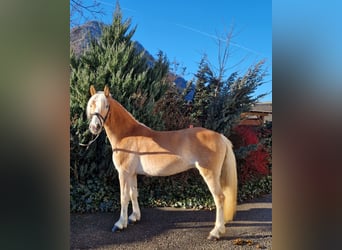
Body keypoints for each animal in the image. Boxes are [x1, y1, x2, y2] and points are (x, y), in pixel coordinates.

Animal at [85, 85, 238, 240]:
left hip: (210, 174)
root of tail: (220, 136)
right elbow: (133, 194)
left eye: (106, 105)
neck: (127, 134)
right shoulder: (132, 173)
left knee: (219, 198)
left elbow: (124, 197)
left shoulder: (123, 173)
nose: (95, 127)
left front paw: (120, 224)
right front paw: (134, 217)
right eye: (91, 105)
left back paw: (216, 232)